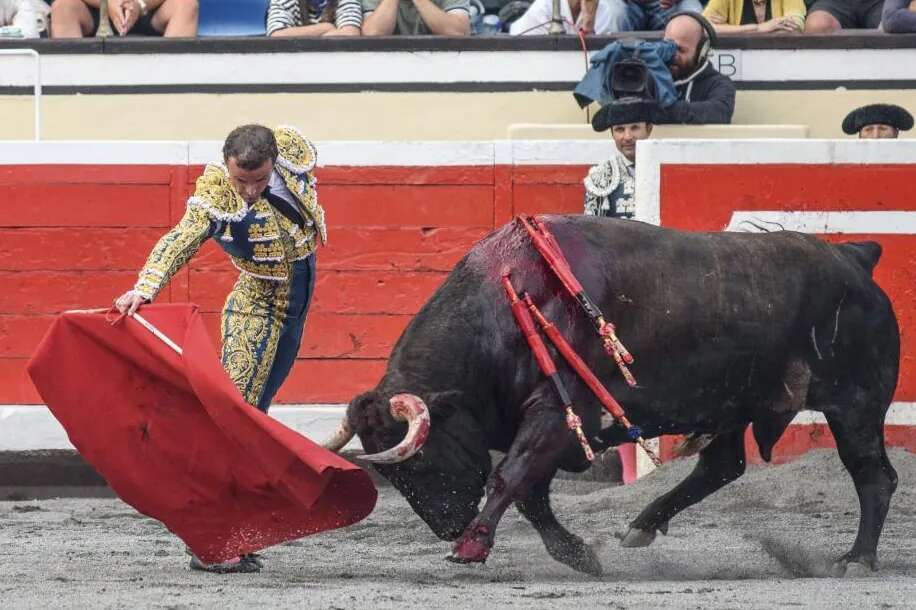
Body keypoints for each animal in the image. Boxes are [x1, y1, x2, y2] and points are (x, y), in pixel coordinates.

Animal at [324, 216, 900, 576]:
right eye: (397, 476)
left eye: (418, 462)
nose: (447, 527)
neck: (507, 305)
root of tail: (855, 256)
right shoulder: (552, 425)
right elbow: (530, 493)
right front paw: (578, 554)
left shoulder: (557, 413)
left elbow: (510, 476)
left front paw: (472, 545)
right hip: (733, 405)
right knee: (723, 466)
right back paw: (641, 527)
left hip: (855, 405)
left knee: (873, 475)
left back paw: (856, 559)